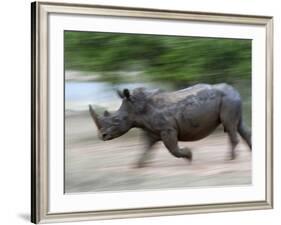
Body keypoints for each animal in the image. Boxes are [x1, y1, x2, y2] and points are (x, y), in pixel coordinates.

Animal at [88, 83, 250, 167]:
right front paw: (137, 165)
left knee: (230, 126)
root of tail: (236, 91)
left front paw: (189, 156)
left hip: (228, 100)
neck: (136, 108)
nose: (102, 136)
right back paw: (250, 152)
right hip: (231, 100)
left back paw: (230, 159)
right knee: (239, 126)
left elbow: (173, 149)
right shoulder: (150, 130)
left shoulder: (167, 129)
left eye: (117, 121)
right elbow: (144, 147)